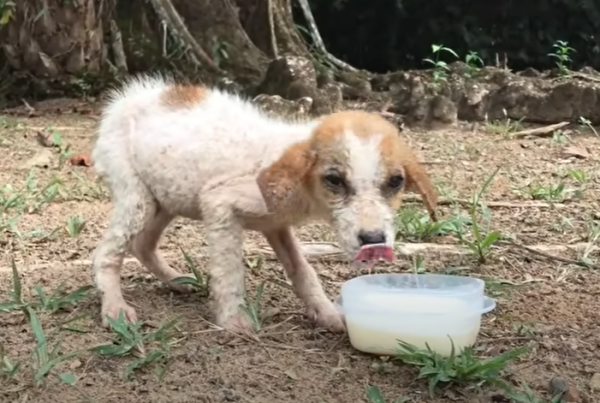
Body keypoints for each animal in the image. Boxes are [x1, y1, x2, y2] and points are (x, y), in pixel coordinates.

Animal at [90, 76, 436, 334]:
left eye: (396, 182)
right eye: (334, 180)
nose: (374, 242)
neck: (300, 186)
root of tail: (130, 96)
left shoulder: (277, 225)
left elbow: (303, 271)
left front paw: (326, 312)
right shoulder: (219, 203)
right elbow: (230, 270)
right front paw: (232, 320)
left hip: (165, 199)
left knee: (143, 245)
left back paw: (176, 281)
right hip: (137, 197)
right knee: (106, 254)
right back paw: (114, 306)